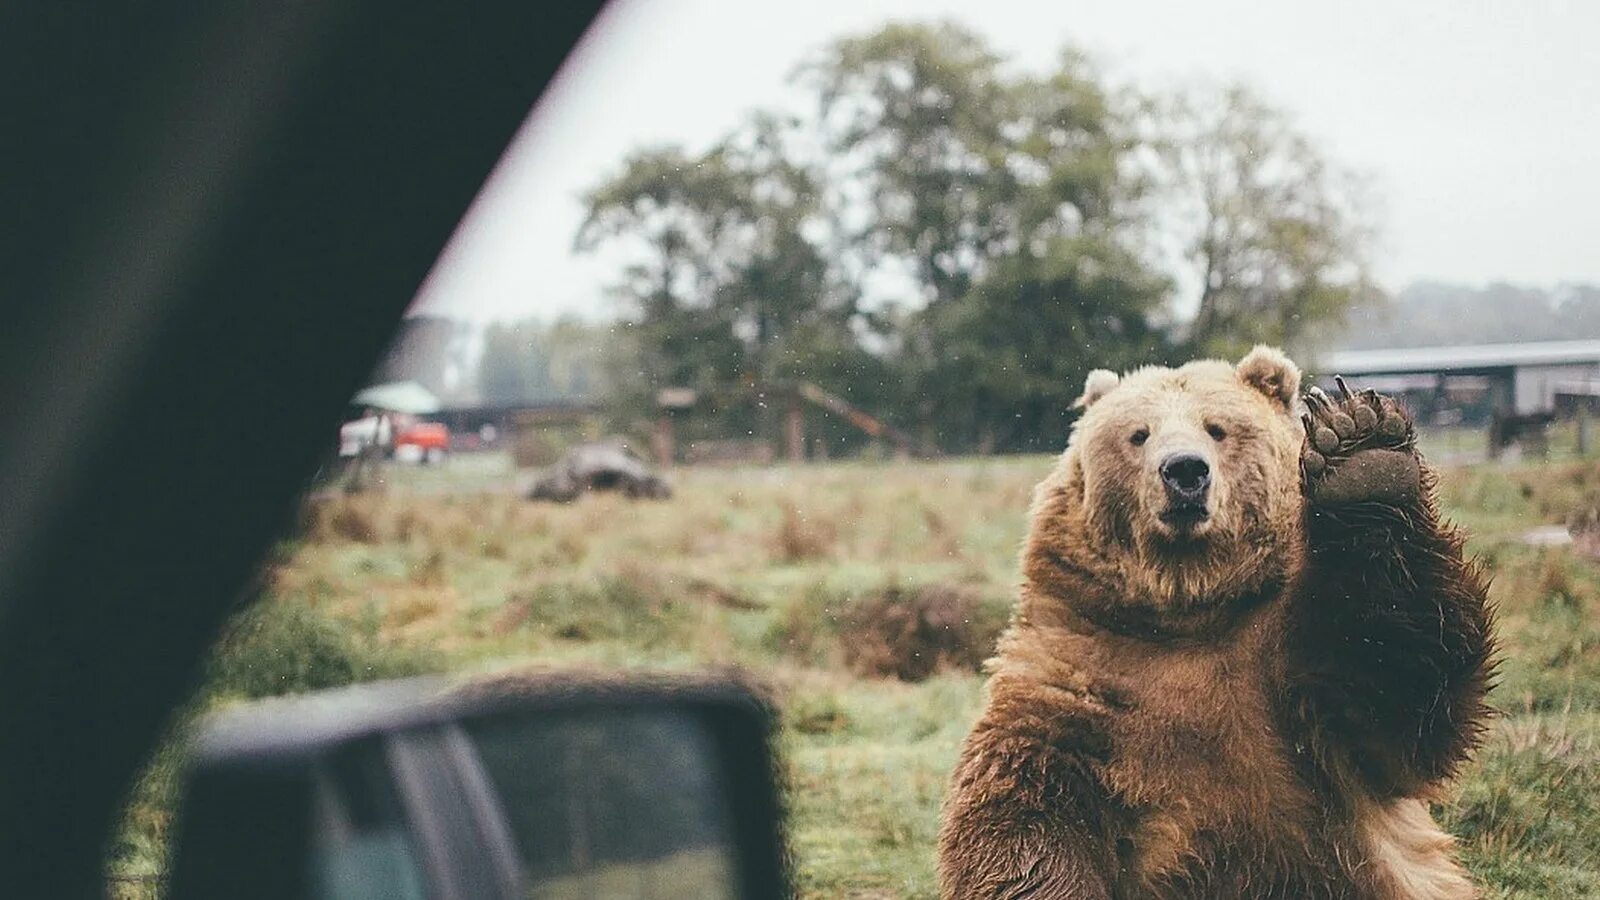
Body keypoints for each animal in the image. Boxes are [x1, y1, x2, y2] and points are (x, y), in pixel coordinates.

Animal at [934, 344, 1497, 896]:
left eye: (1217, 428)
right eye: (1138, 433)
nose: (1184, 470)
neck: (1191, 606)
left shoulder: (1298, 682)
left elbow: (1392, 680)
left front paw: (1363, 456)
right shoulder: (1082, 666)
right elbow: (1026, 807)